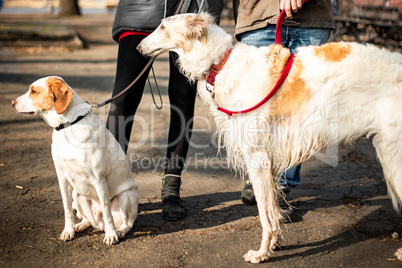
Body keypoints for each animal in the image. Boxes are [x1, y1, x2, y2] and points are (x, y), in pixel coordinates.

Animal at [11, 76, 139, 246]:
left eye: (33, 91)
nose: (12, 102)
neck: (68, 126)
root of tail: (99, 224)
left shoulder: (99, 179)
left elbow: (107, 211)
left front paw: (111, 235)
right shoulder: (62, 178)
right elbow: (67, 210)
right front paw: (68, 231)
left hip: (126, 196)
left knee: (126, 223)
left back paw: (118, 231)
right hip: (77, 194)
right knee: (88, 220)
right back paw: (81, 225)